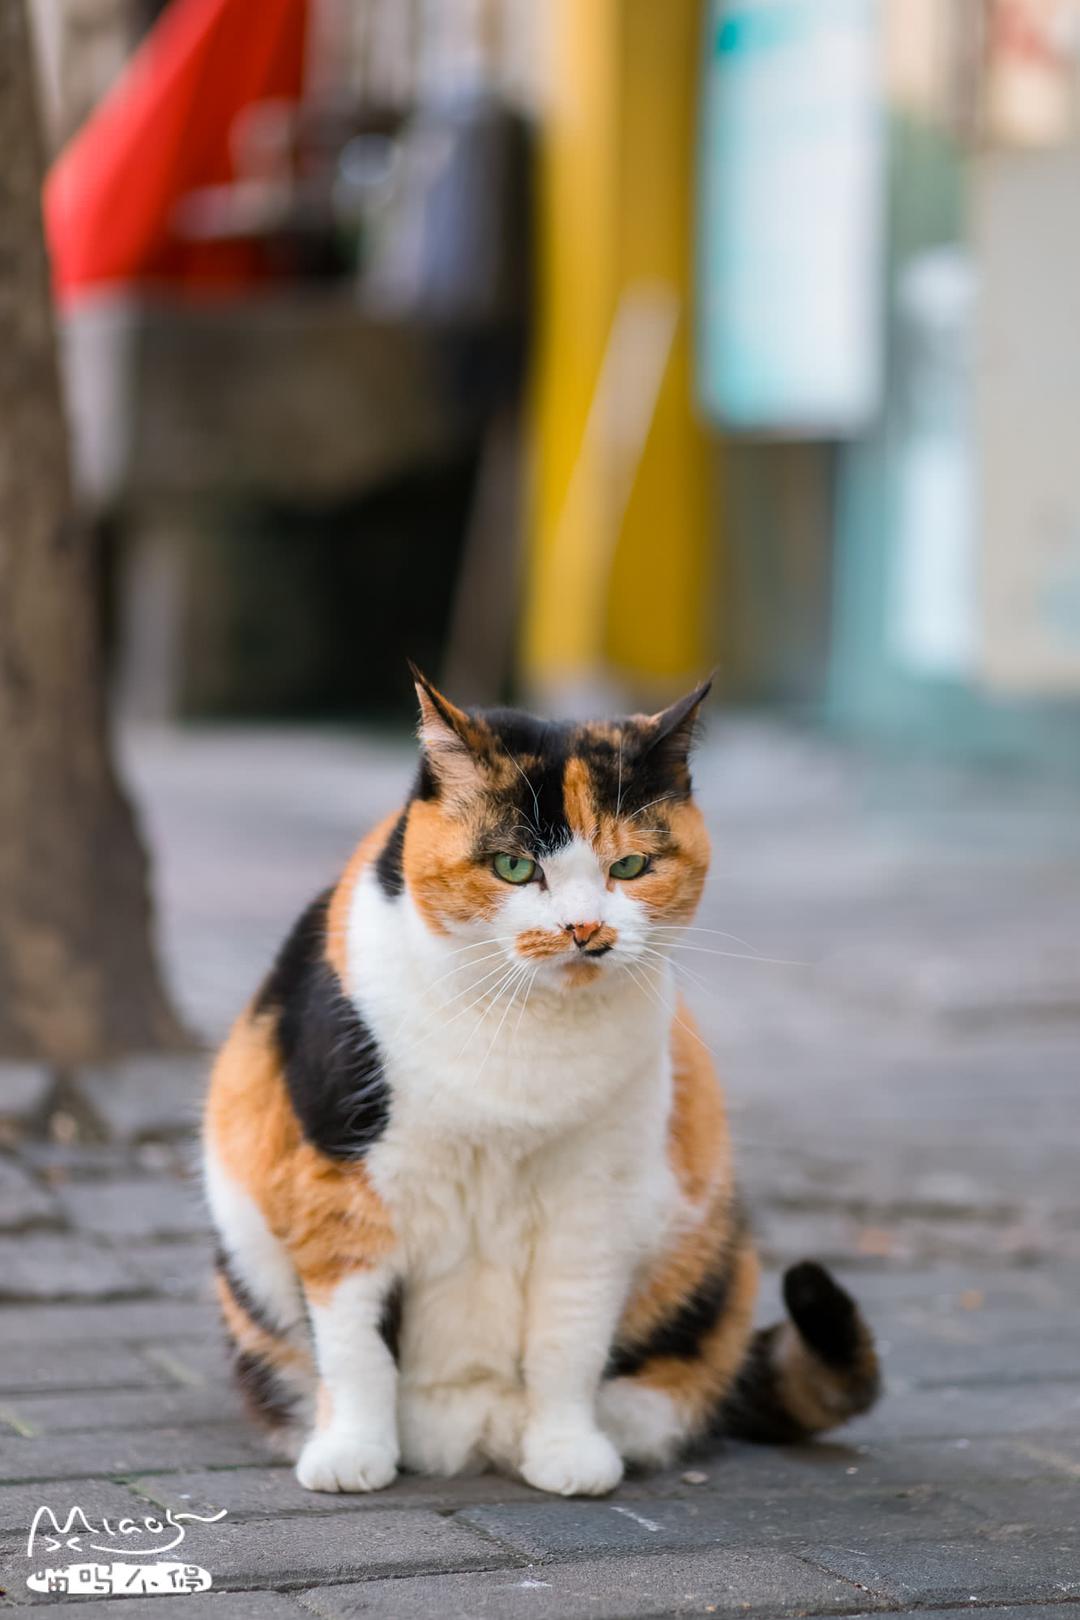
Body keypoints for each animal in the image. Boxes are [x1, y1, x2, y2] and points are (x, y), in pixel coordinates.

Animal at [202, 670, 880, 1490]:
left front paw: (568, 1455)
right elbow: (356, 1343)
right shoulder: (341, 1180)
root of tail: (471, 1435)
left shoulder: (594, 1201)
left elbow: (569, 1343)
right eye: (516, 868)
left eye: (631, 867)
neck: (527, 1034)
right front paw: (352, 1456)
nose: (585, 930)